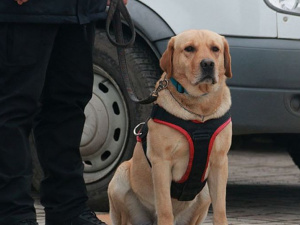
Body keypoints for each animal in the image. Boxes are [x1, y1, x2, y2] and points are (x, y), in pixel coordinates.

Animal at [109, 29, 233, 225]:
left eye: (215, 49)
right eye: (189, 48)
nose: (208, 64)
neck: (199, 110)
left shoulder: (219, 162)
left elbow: (220, 210)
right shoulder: (161, 162)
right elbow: (165, 208)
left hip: (204, 193)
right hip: (119, 178)